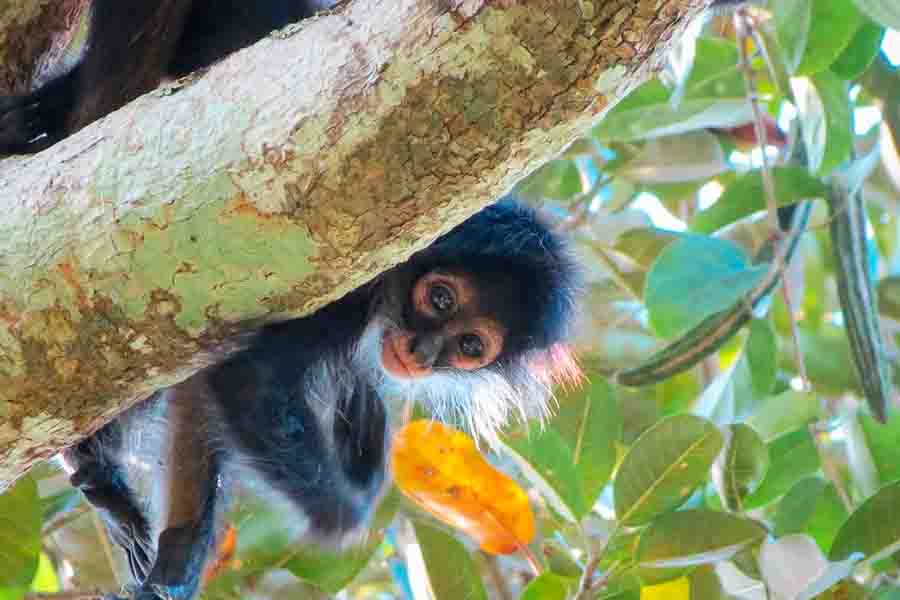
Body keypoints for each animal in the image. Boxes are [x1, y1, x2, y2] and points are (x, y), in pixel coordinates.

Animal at [59, 198, 582, 600]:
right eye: (440, 299)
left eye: (470, 345)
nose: (422, 352)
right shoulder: (343, 298)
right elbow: (243, 378)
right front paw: (349, 504)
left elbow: (201, 391)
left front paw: (173, 567)